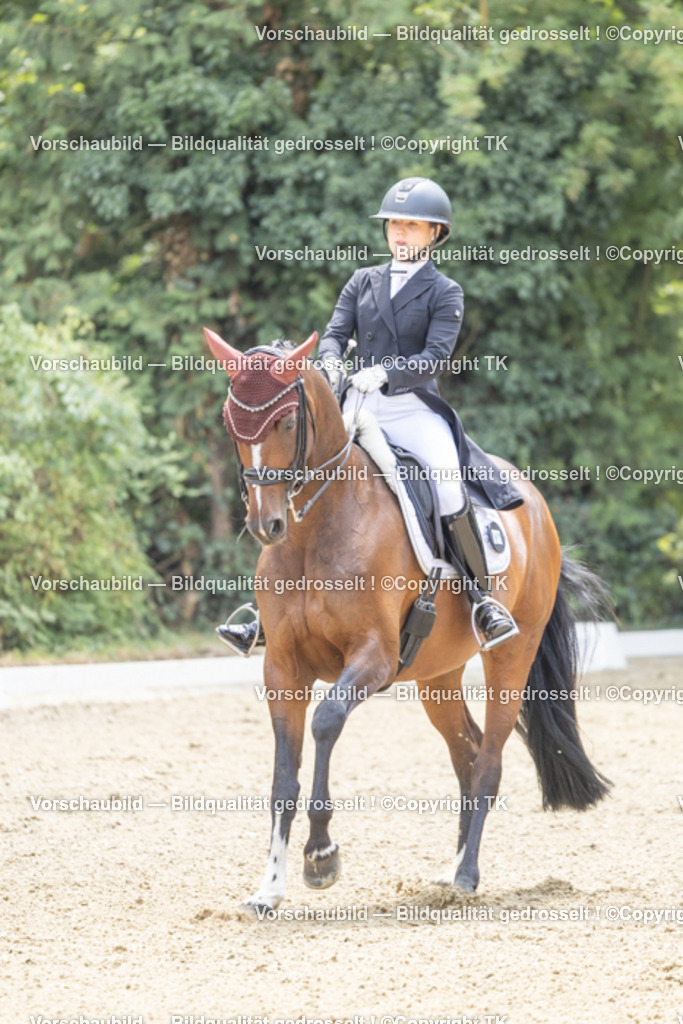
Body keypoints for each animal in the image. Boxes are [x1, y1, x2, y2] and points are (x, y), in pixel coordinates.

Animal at [203, 327, 611, 911]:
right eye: (231, 422)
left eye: (286, 421)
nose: (267, 525)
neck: (317, 530)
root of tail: (534, 502)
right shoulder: (282, 667)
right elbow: (283, 777)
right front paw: (269, 888)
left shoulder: (373, 658)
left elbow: (326, 722)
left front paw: (321, 857)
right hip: (437, 675)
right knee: (467, 753)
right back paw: (453, 870)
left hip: (511, 655)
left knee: (489, 760)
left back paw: (466, 876)